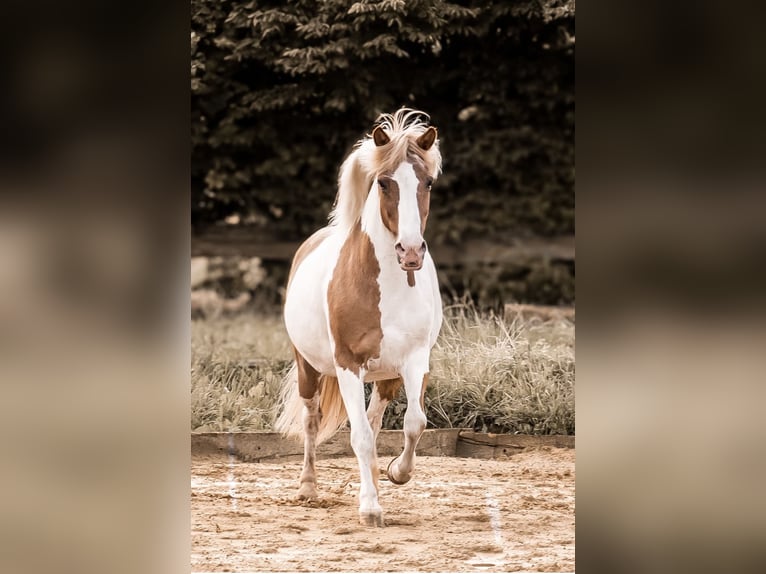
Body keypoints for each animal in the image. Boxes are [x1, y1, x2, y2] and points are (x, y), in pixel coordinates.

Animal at [275, 108, 443, 527]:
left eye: (428, 182)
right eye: (383, 182)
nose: (410, 252)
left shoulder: (415, 361)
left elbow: (414, 423)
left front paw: (397, 473)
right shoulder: (348, 364)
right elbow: (360, 437)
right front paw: (370, 508)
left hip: (386, 376)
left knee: (376, 417)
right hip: (309, 369)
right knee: (312, 420)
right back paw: (308, 489)